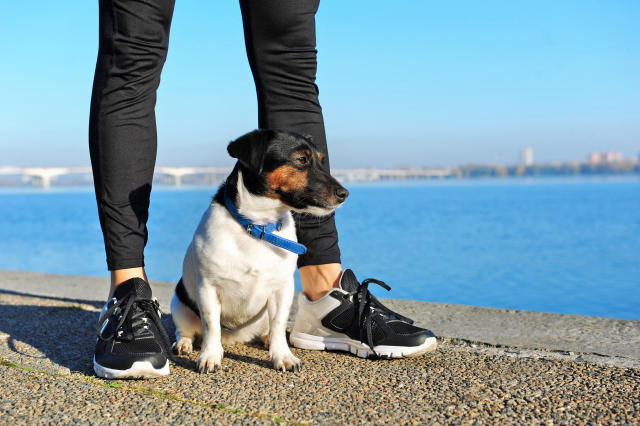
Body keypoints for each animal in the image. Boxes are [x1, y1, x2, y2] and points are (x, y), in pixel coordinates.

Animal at [172, 128, 348, 372]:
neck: (258, 227)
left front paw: (282, 355)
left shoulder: (282, 289)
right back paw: (184, 344)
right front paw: (210, 356)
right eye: (301, 160)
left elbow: (278, 324)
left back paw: (266, 340)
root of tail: (236, 338)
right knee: (185, 331)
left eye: (322, 161)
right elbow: (211, 325)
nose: (345, 193)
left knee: (269, 329)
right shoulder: (208, 288)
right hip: (179, 305)